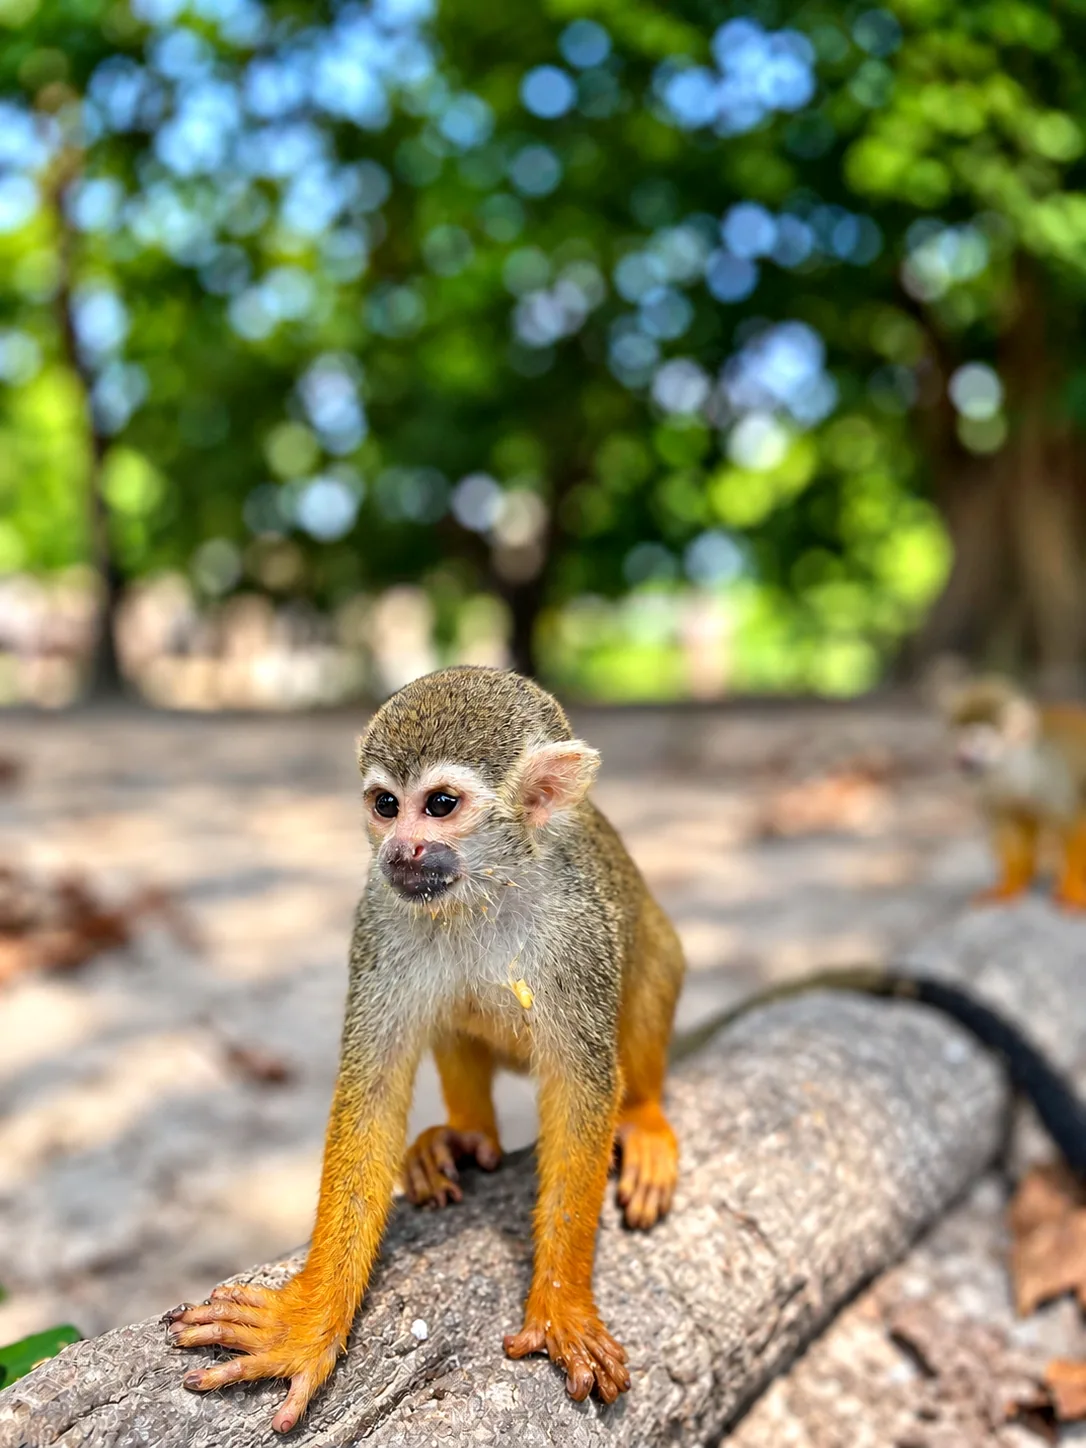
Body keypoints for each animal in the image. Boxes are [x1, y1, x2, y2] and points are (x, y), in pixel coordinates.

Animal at [167, 666, 685, 1431]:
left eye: (439, 805)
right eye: (386, 805)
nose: (399, 848)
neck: (481, 891)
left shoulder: (577, 931)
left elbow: (581, 1091)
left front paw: (561, 1309)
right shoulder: (379, 916)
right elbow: (373, 1091)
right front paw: (309, 1322)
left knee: (652, 961)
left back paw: (643, 1116)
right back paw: (465, 1136)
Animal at [943, 676, 1086, 910]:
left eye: (975, 740)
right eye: (959, 739)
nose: (960, 759)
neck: (1016, 767)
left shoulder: (1053, 778)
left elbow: (1074, 824)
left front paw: (1072, 888)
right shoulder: (990, 785)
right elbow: (1007, 824)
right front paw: (1009, 886)